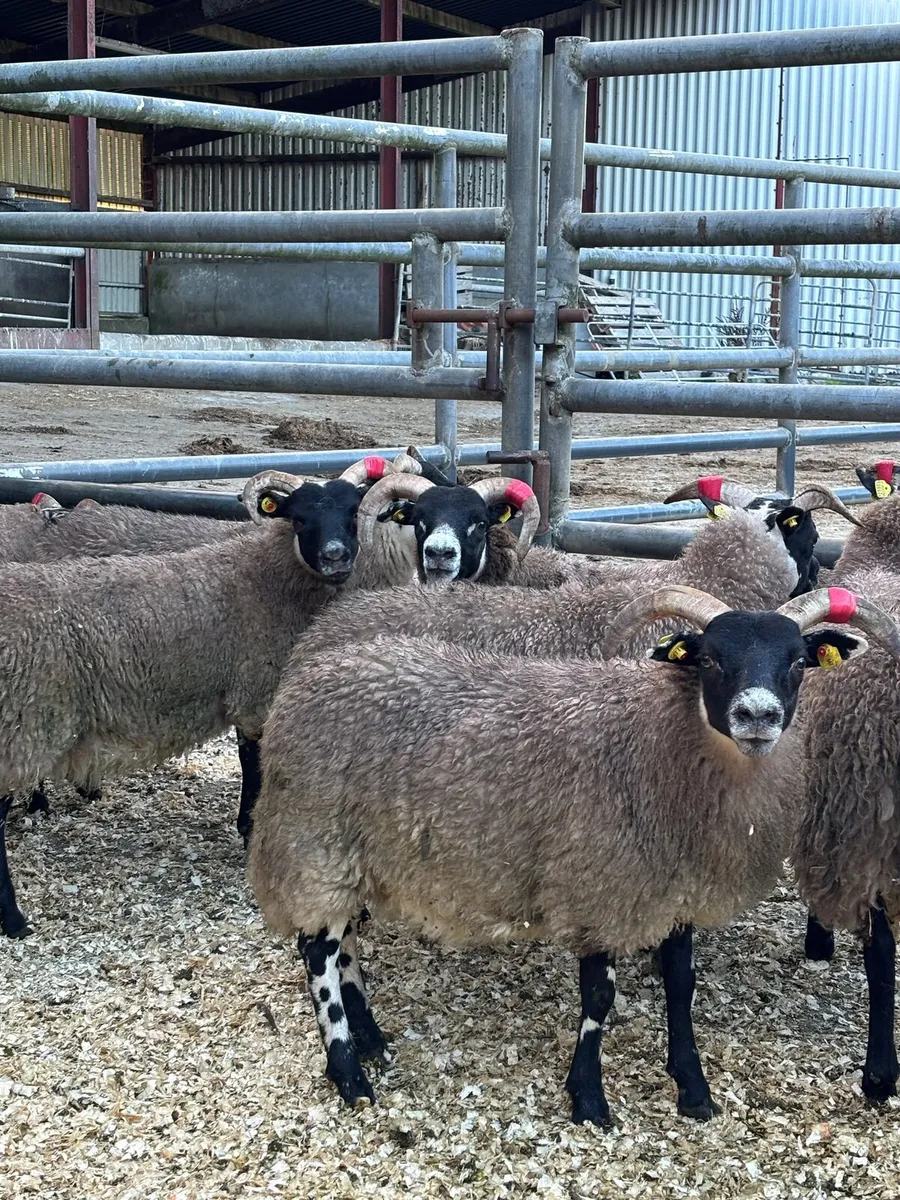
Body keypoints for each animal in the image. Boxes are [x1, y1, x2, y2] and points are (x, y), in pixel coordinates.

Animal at [0, 454, 416, 939]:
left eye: (352, 512)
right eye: (299, 518)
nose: (336, 556)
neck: (269, 578)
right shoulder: (256, 695)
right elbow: (253, 767)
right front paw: (248, 830)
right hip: (22, 725)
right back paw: (14, 919)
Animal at [248, 584, 900, 1123]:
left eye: (798, 662)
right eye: (711, 659)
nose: (757, 715)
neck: (660, 743)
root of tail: (307, 671)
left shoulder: (673, 888)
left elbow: (681, 982)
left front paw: (693, 1089)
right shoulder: (598, 883)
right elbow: (599, 998)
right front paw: (589, 1098)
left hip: (355, 854)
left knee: (346, 940)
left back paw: (372, 1039)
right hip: (314, 841)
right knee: (318, 951)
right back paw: (349, 1074)